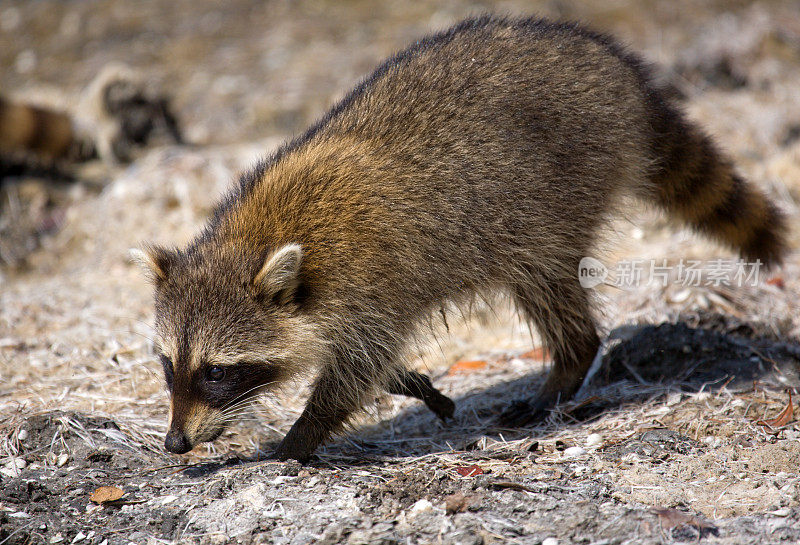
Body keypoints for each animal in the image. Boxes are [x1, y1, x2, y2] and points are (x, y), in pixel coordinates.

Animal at [133, 15, 788, 460]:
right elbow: (374, 361)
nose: (174, 444)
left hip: (557, 190)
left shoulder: (371, 281)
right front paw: (409, 383)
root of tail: (621, 75)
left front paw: (301, 435)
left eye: (217, 373)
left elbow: (356, 367)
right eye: (169, 365)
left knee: (548, 283)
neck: (258, 236)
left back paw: (570, 360)